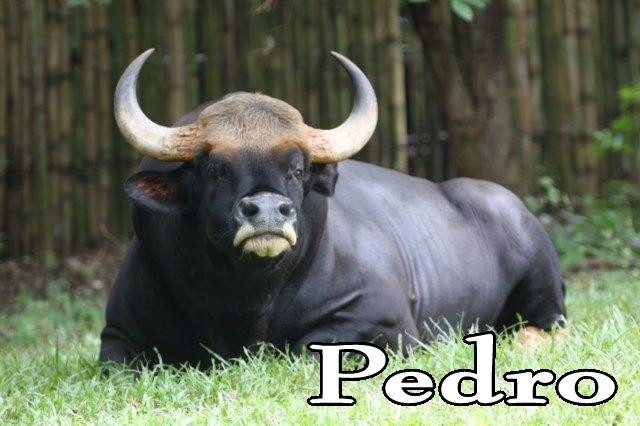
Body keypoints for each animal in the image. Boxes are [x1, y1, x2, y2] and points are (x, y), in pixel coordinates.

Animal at [99, 49, 566, 369]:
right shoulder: (117, 337)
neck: (244, 304)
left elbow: (307, 346)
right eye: (215, 169)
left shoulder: (386, 324)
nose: (267, 211)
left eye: (298, 168)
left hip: (545, 290)